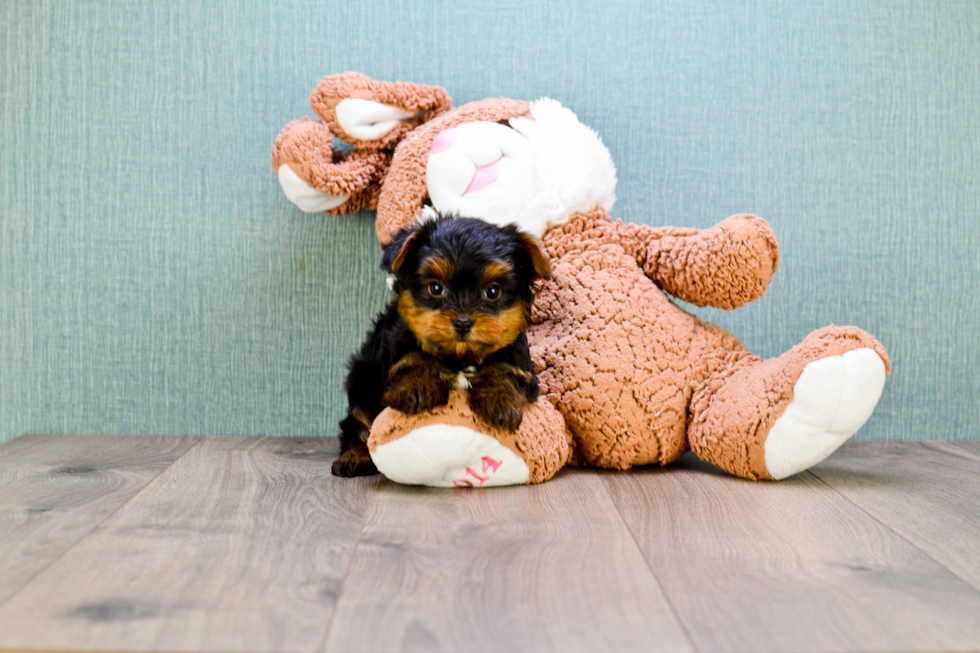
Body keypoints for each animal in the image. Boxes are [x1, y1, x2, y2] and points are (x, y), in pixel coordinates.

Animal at [334, 216, 552, 476]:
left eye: (492, 291)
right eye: (436, 288)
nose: (463, 322)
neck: (460, 356)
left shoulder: (520, 362)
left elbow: (504, 369)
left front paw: (499, 399)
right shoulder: (397, 344)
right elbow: (413, 357)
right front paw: (419, 387)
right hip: (362, 379)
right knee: (357, 422)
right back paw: (355, 457)